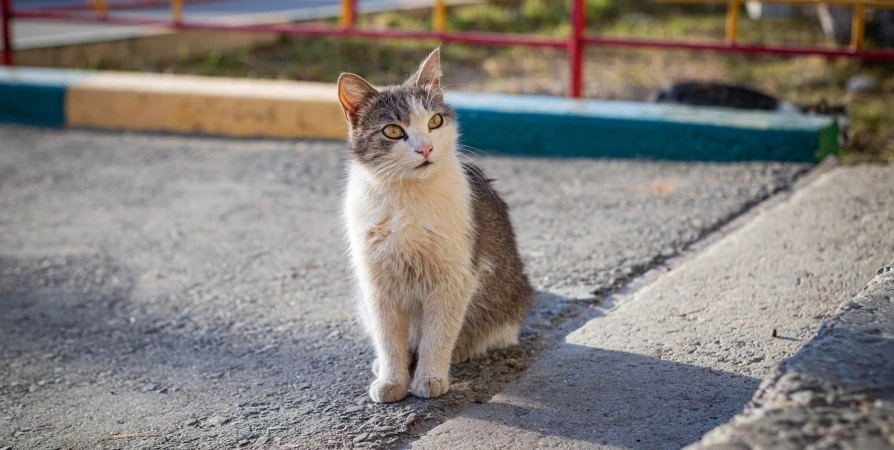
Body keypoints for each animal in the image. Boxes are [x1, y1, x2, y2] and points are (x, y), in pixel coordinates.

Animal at [336, 50, 532, 404]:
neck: (407, 198)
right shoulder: (377, 284)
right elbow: (389, 339)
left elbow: (438, 334)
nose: (425, 148)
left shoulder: (453, 278)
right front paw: (391, 379)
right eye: (392, 131)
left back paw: (461, 350)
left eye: (434, 122)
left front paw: (430, 377)